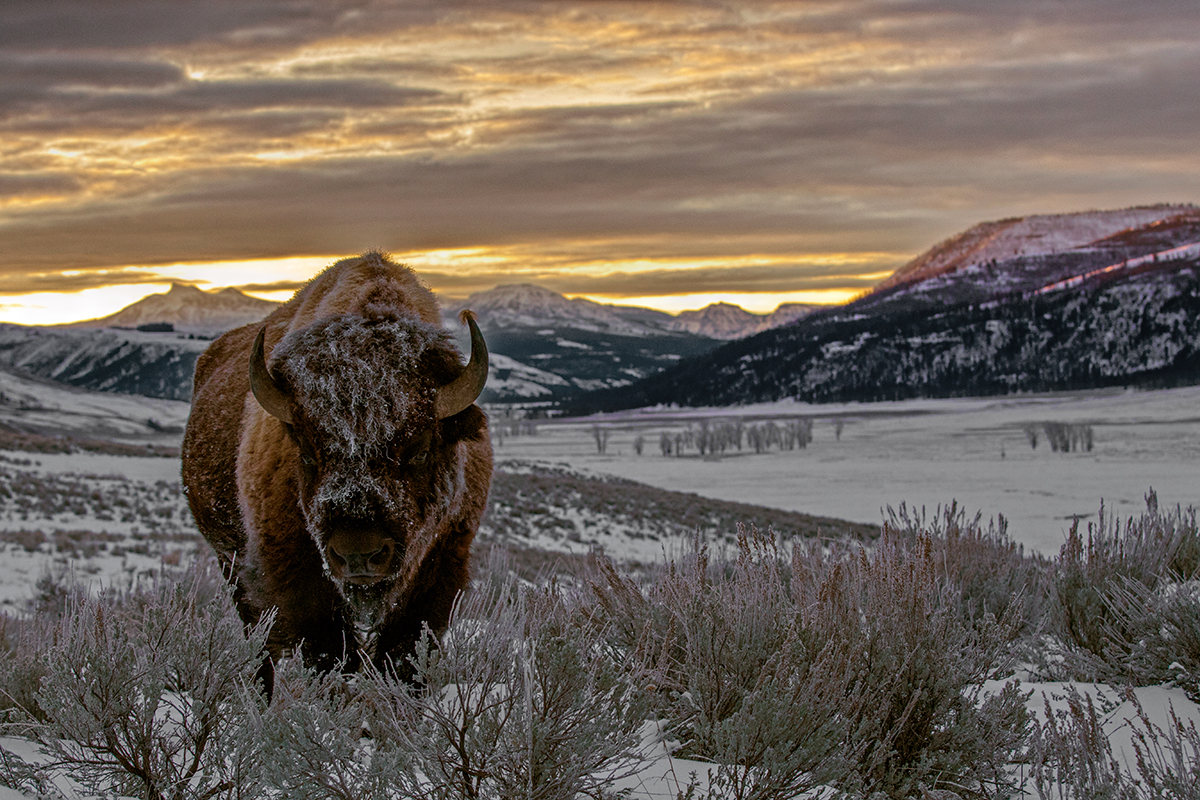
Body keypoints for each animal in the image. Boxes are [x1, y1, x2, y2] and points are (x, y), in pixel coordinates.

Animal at [182, 252, 492, 682]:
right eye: (308, 452)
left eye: (418, 448)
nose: (358, 554)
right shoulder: (299, 585)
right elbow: (329, 655)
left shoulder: (440, 572)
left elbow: (405, 656)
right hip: (232, 565)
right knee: (260, 648)